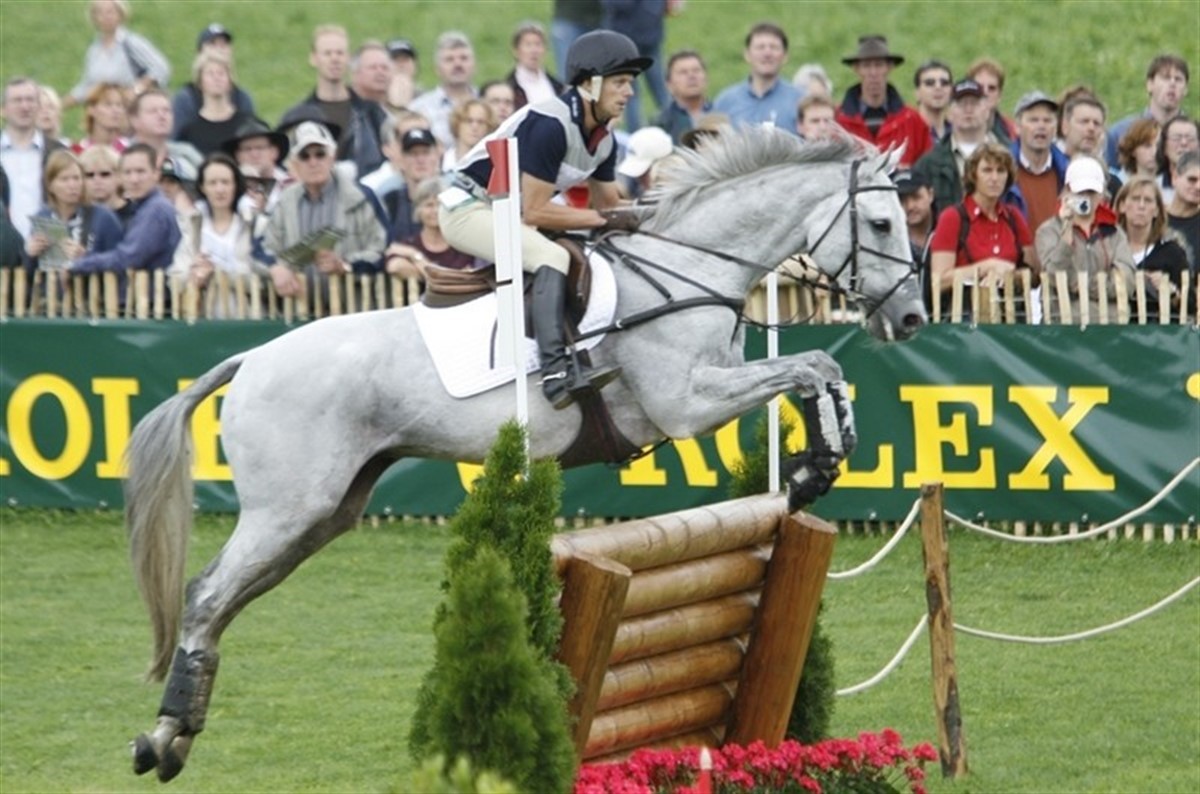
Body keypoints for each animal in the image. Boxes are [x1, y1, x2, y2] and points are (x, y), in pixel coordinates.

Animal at [125, 127, 925, 781]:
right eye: (882, 222)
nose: (914, 318)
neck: (683, 271)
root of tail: (251, 359)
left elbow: (819, 367)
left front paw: (822, 458)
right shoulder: (686, 403)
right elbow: (810, 365)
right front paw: (817, 463)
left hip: (325, 513)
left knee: (221, 602)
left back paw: (177, 732)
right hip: (289, 508)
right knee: (206, 595)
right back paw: (161, 739)